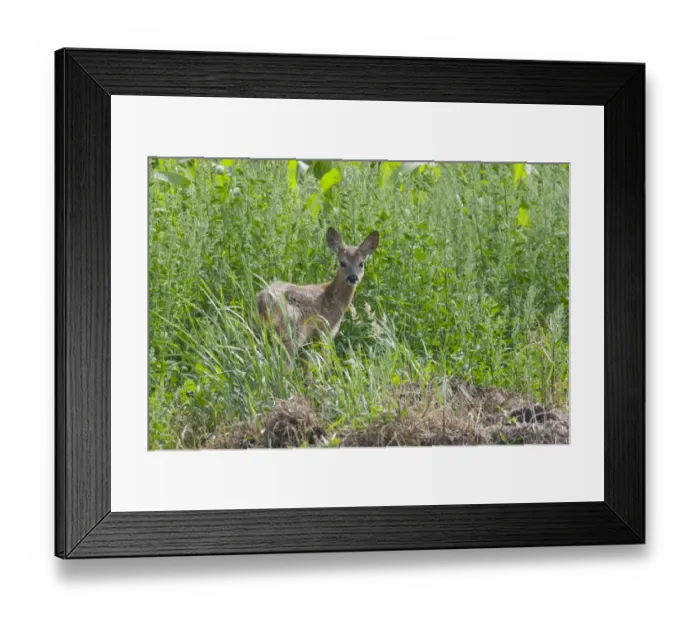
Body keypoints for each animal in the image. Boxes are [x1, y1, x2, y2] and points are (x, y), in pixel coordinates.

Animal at [256, 227, 379, 355]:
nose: (352, 277)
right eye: (342, 263)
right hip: (292, 330)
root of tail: (263, 299)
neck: (333, 299)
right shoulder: (326, 330)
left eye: (361, 263)